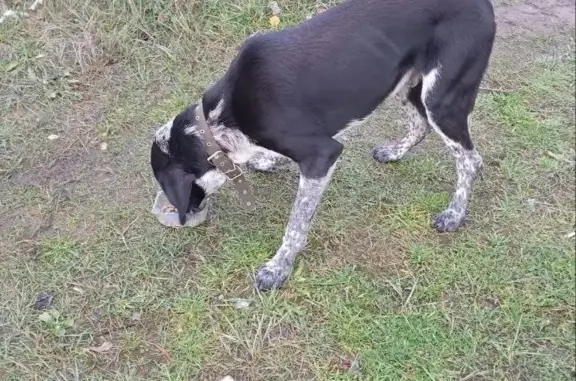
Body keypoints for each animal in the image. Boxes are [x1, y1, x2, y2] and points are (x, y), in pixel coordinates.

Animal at [151, 0, 498, 290]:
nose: (181, 214)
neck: (219, 120)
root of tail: (481, 2)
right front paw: (264, 161)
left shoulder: (321, 155)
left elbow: (296, 223)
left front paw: (278, 268)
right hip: (411, 83)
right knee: (421, 125)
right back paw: (394, 152)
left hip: (442, 98)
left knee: (470, 160)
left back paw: (454, 214)